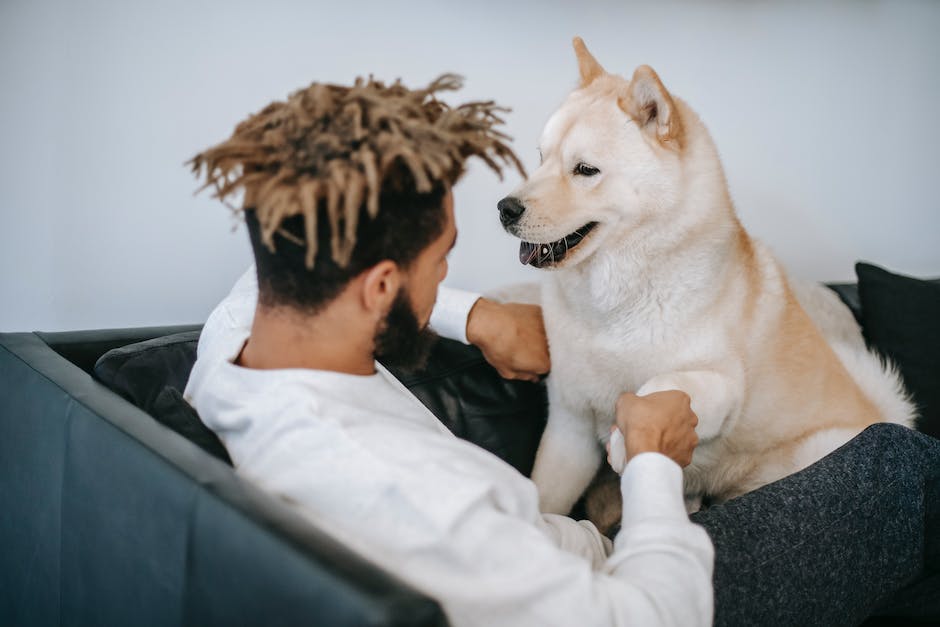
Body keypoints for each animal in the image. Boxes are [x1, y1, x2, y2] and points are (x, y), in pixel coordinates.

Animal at [500, 36, 916, 524]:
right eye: (540, 158)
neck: (610, 305)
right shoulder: (570, 427)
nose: (505, 208)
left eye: (585, 170)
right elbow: (546, 496)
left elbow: (662, 384)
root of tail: (881, 412)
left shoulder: (722, 387)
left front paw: (625, 440)